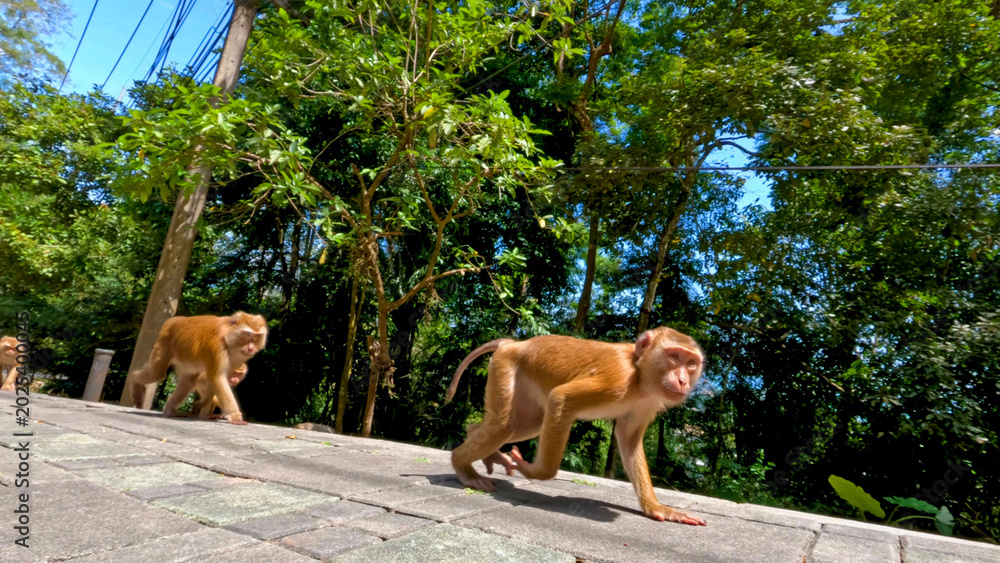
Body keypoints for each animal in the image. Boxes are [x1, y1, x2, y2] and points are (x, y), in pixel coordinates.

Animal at [130, 312, 267, 425]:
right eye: (248, 334)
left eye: (257, 336)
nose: (251, 348)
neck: (228, 337)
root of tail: (174, 320)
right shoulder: (216, 346)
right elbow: (218, 378)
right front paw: (235, 415)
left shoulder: (239, 358)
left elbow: (216, 381)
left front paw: (202, 403)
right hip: (164, 343)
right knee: (157, 373)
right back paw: (135, 380)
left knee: (188, 380)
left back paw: (170, 410)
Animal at [446, 326, 707, 526]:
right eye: (674, 357)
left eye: (691, 363)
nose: (682, 380)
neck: (640, 375)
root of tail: (515, 344)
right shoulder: (619, 379)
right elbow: (561, 398)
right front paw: (532, 471)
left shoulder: (648, 402)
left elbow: (629, 438)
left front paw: (656, 507)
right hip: (505, 367)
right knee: (504, 425)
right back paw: (463, 467)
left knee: (524, 425)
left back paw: (480, 443)